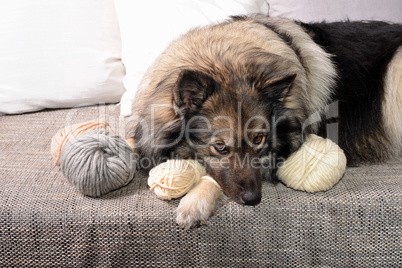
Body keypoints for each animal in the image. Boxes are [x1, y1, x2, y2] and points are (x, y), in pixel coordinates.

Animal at [126, 14, 402, 229]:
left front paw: (195, 203)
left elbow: (215, 178)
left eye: (259, 139)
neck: (222, 59)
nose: (253, 199)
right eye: (220, 147)